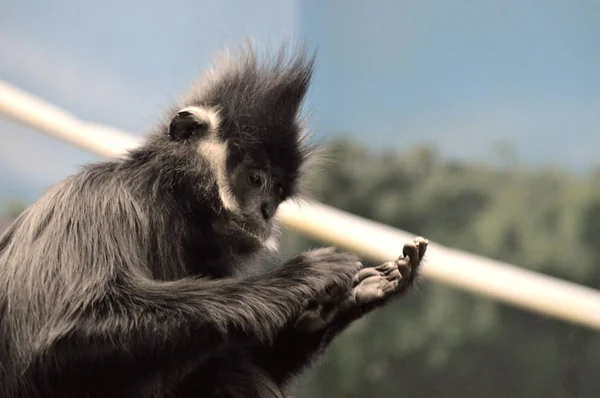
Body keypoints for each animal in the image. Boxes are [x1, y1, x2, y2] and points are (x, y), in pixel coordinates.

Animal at [0, 45, 428, 396]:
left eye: (276, 194)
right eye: (255, 179)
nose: (264, 211)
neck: (166, 199)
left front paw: (346, 302)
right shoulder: (100, 200)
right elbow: (60, 340)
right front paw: (299, 278)